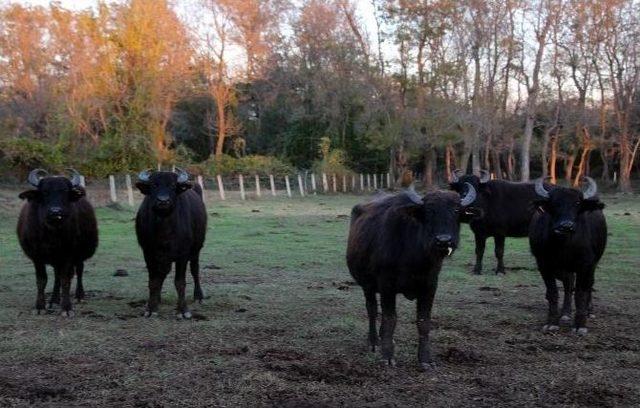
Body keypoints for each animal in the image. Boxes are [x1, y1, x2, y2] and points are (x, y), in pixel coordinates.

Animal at [17, 169, 98, 316]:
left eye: (65, 192)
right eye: (44, 192)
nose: (55, 211)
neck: (52, 234)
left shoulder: (68, 255)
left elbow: (65, 279)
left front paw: (66, 308)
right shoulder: (37, 256)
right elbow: (42, 280)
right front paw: (40, 306)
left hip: (80, 254)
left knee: (79, 270)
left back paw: (79, 295)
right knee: (56, 276)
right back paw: (54, 300)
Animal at [134, 168, 205, 318]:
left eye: (172, 186)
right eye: (154, 185)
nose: (163, 201)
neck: (164, 228)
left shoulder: (183, 254)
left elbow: (180, 282)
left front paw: (183, 311)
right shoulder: (148, 253)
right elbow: (153, 281)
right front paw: (151, 308)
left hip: (196, 249)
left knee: (195, 269)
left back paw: (199, 296)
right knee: (161, 274)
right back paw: (158, 299)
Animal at [348, 185, 478, 370]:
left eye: (456, 210)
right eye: (429, 211)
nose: (443, 241)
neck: (416, 257)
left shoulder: (430, 286)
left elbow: (423, 322)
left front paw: (425, 359)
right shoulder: (387, 285)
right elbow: (390, 318)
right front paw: (388, 356)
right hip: (367, 285)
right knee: (372, 310)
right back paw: (374, 342)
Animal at [528, 176, 608, 334]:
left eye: (577, 203)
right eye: (555, 203)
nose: (566, 226)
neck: (564, 246)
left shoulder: (586, 265)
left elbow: (581, 292)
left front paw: (580, 325)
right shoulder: (544, 265)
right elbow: (553, 292)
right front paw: (552, 322)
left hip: (593, 263)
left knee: (589, 284)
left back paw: (589, 311)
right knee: (568, 283)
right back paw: (565, 313)